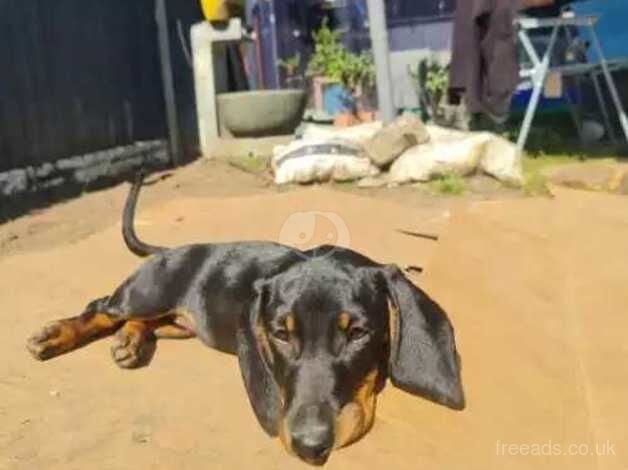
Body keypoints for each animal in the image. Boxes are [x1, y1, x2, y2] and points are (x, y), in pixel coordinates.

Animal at [27, 174, 464, 464]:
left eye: (357, 333)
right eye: (280, 334)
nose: (309, 447)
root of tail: (171, 251)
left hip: (180, 325)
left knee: (145, 323)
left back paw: (130, 342)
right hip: (144, 294)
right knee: (101, 307)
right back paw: (55, 335)